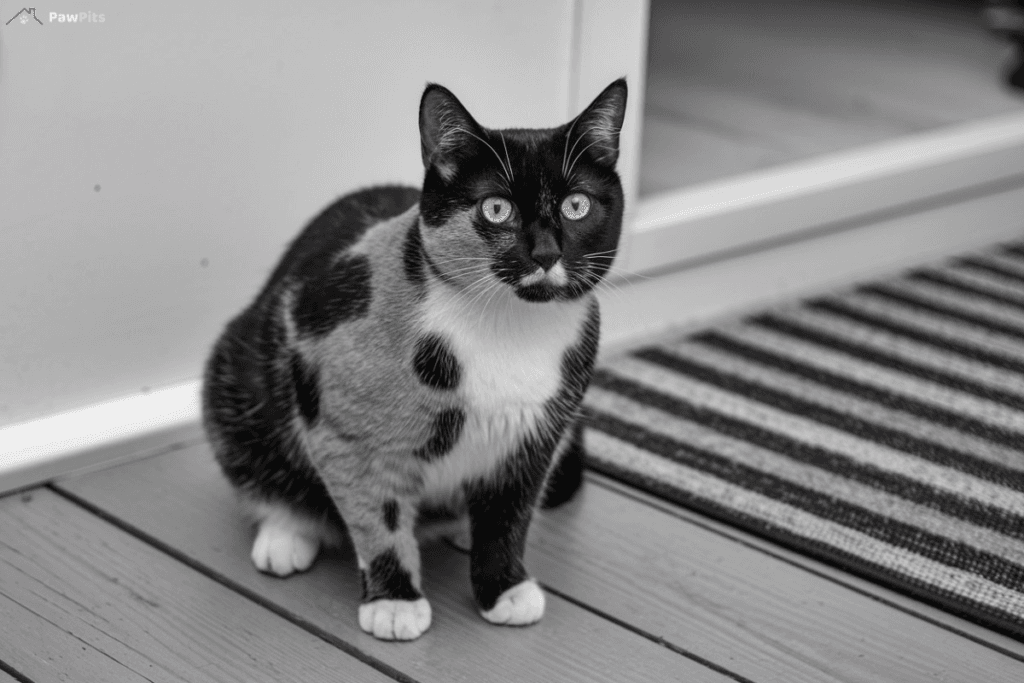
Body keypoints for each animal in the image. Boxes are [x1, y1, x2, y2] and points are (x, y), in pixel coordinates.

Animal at [201, 78, 622, 643]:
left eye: (577, 205)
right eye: (496, 209)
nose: (545, 253)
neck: (509, 331)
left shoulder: (535, 436)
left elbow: (509, 519)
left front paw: (504, 587)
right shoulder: (344, 422)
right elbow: (377, 515)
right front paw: (395, 601)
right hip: (237, 377)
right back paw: (285, 534)